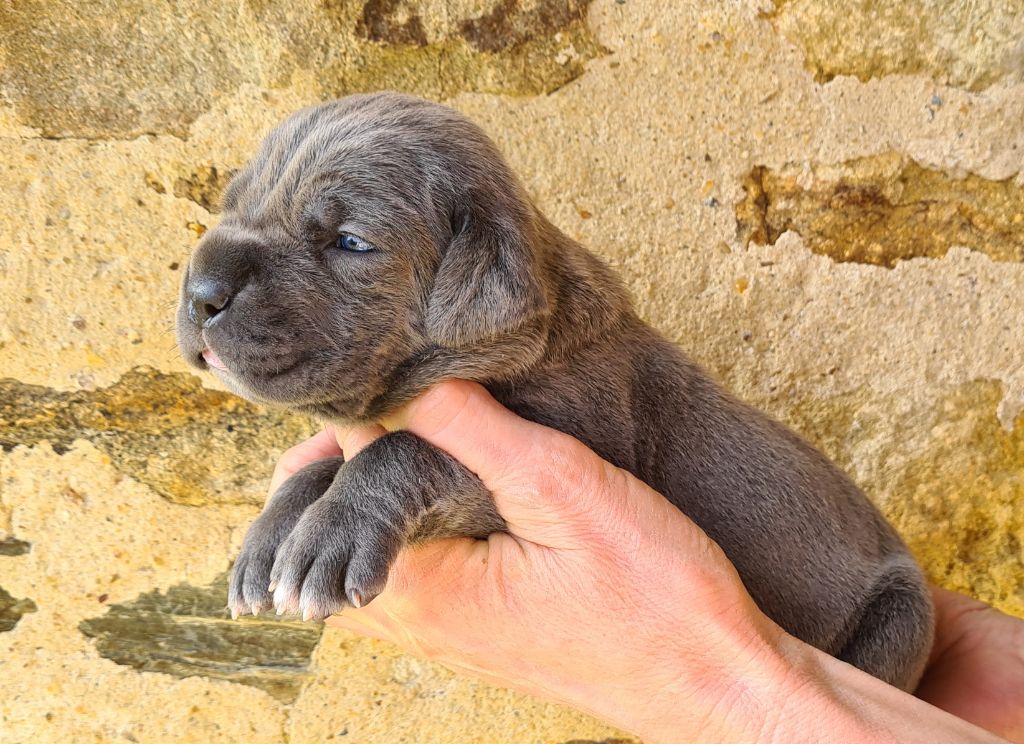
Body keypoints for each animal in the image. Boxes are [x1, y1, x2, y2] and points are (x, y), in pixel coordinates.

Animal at [178, 91, 937, 691]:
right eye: (231, 205)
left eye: (349, 241)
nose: (201, 291)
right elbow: (324, 463)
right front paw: (270, 537)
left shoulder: (560, 444)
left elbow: (404, 452)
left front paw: (326, 538)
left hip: (901, 617)